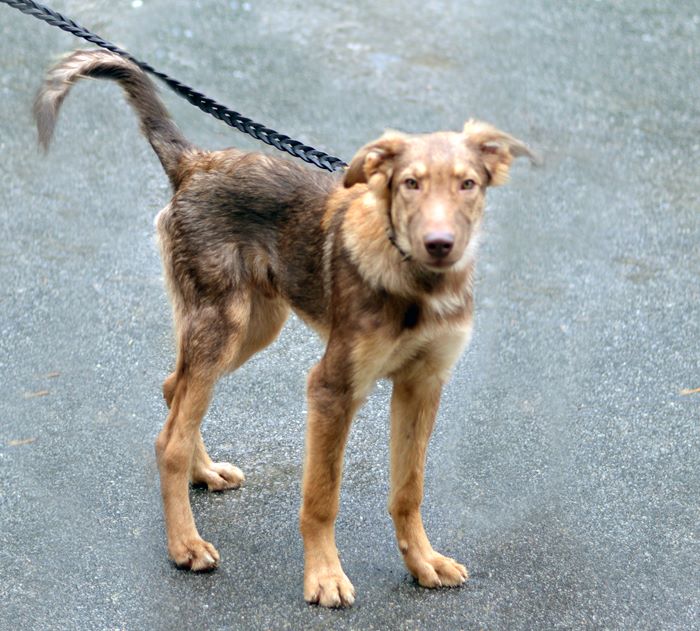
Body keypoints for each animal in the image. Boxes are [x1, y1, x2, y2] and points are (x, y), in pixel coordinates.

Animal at [34, 49, 534, 607]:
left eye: (468, 184)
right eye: (411, 183)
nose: (440, 244)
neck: (415, 282)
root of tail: (195, 163)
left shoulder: (422, 385)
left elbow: (409, 489)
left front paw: (423, 562)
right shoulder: (332, 387)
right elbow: (321, 496)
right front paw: (324, 576)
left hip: (256, 325)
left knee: (173, 390)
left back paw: (203, 472)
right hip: (223, 325)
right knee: (170, 440)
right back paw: (185, 543)